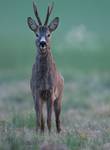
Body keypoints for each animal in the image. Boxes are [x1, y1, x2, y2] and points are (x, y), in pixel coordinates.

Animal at [27, 1, 64, 132]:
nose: (42, 43)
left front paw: (49, 134)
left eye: (49, 34)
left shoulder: (51, 92)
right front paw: (38, 133)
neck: (43, 81)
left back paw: (58, 132)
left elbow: (49, 120)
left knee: (58, 119)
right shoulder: (36, 92)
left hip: (59, 97)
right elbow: (39, 120)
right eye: (36, 34)